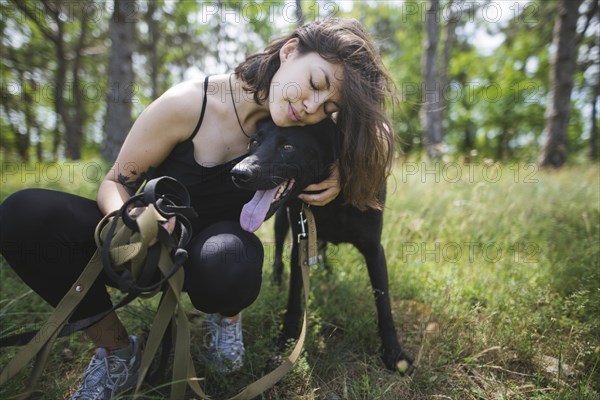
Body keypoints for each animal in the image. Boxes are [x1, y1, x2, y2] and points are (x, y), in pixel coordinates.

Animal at [230, 118, 412, 372]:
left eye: (288, 147)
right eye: (254, 141)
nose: (238, 173)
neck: (334, 201)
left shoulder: (374, 250)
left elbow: (384, 304)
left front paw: (394, 353)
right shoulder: (300, 244)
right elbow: (293, 301)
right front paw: (285, 342)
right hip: (281, 221)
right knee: (278, 254)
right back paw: (277, 281)